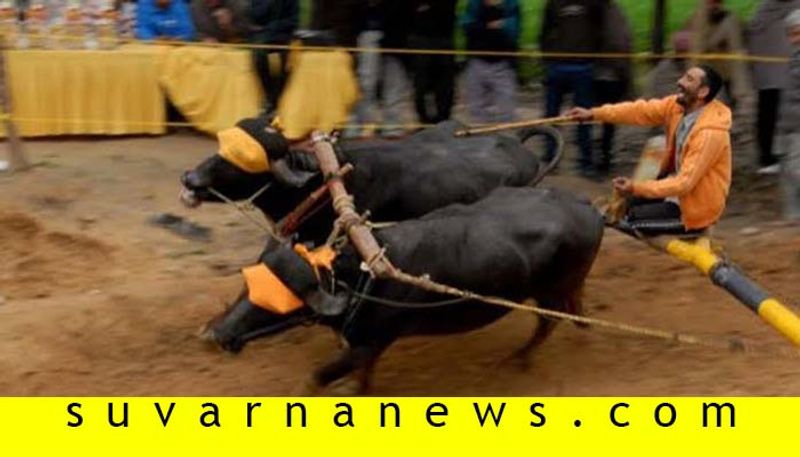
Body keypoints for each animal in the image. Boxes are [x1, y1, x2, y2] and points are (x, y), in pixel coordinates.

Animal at [203, 185, 604, 392]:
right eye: (245, 288)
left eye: (275, 303)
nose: (216, 334)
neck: (360, 278)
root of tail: (588, 208)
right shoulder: (363, 347)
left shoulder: (369, 344)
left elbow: (321, 378)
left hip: (553, 291)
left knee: (549, 321)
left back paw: (520, 358)